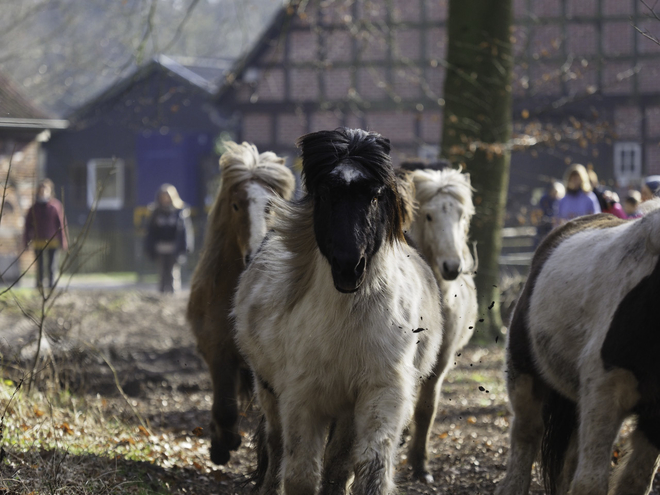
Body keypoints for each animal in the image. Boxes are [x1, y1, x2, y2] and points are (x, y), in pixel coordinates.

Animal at [188, 141, 296, 466]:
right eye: (235, 205)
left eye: (271, 205)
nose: (254, 252)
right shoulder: (218, 350)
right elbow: (224, 406)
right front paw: (222, 445)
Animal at [232, 129, 444, 495]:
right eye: (326, 194)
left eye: (374, 195)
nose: (349, 267)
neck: (346, 325)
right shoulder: (302, 398)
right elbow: (300, 473)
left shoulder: (380, 391)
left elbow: (367, 467)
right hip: (268, 388)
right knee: (275, 444)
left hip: (346, 408)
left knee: (337, 461)